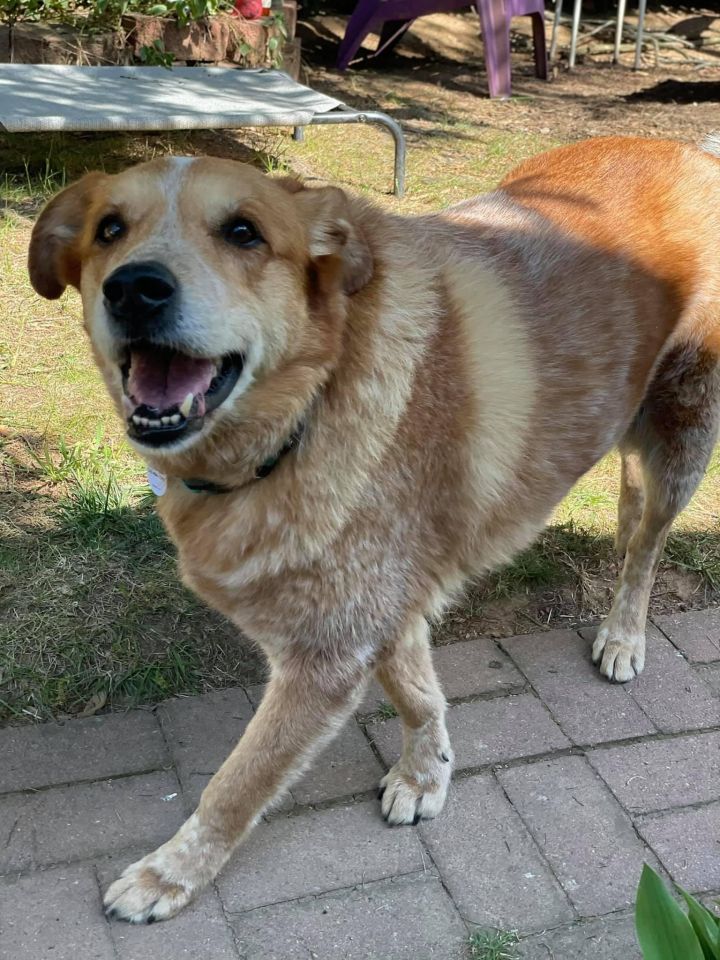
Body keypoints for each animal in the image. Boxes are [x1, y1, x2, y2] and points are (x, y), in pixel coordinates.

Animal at [28, 137, 720, 924]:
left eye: (244, 232)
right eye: (109, 229)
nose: (134, 288)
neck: (310, 409)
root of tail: (690, 148)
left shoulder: (324, 656)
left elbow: (236, 785)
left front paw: (169, 873)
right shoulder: (376, 609)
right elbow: (417, 694)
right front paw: (427, 773)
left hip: (685, 432)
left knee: (649, 544)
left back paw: (624, 634)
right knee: (631, 509)